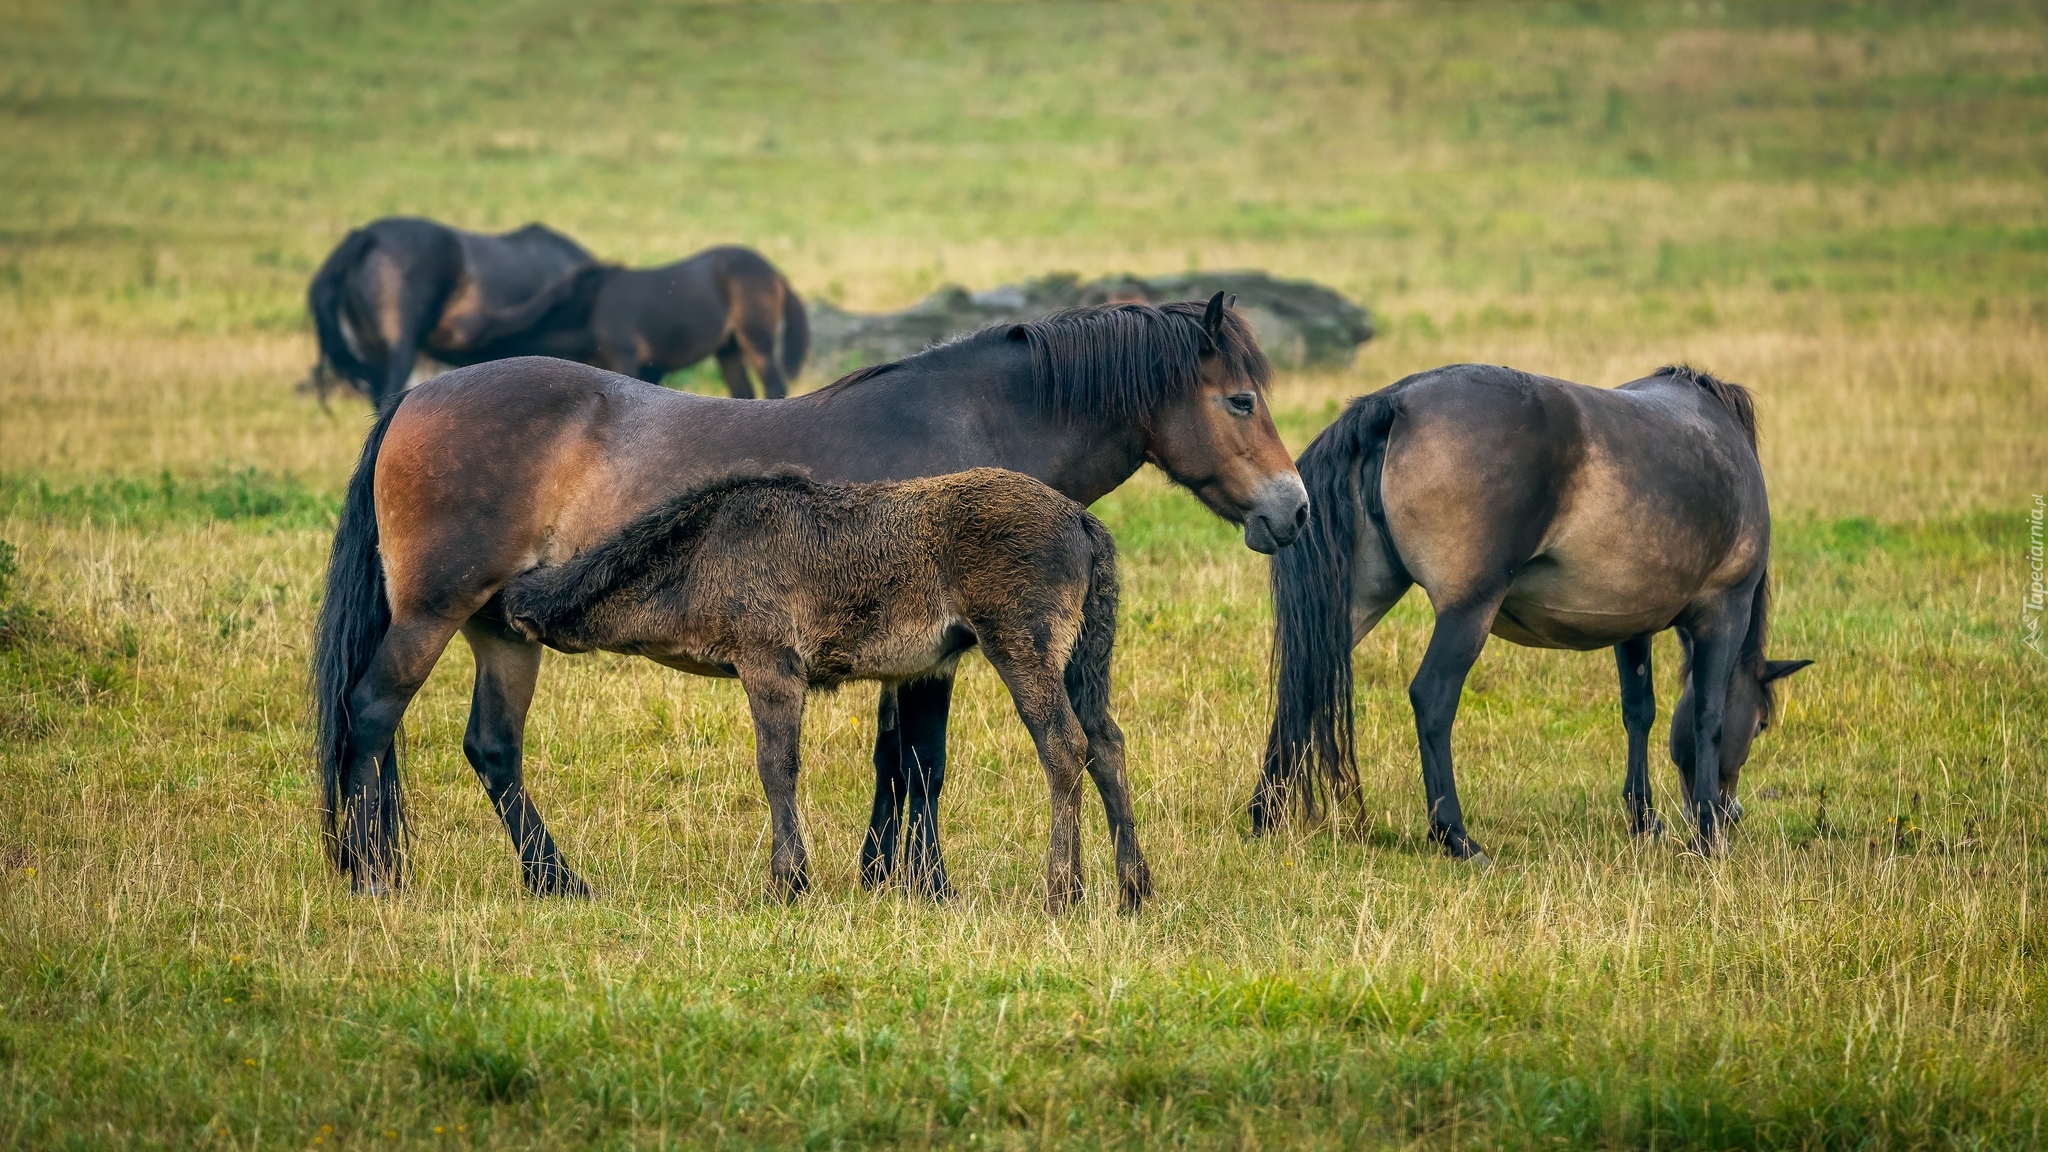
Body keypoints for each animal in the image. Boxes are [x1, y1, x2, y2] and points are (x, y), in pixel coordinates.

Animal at [315, 291, 1310, 893]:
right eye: (1241, 401)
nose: (1293, 509)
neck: (974, 420)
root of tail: (416, 398)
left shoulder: (910, 651)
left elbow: (896, 763)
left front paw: (884, 877)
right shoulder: (935, 656)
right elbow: (922, 763)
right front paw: (925, 885)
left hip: (502, 629)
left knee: (492, 749)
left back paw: (556, 882)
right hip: (432, 613)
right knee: (371, 714)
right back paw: (368, 871)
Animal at [462, 243, 806, 397]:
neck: (589, 310)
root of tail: (776, 275)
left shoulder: (625, 359)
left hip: (755, 338)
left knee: (774, 385)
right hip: (728, 348)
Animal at [1253, 362, 1818, 856]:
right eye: (1761, 725)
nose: (1732, 812)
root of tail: (1394, 403)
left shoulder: (1633, 625)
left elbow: (1639, 711)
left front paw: (1644, 819)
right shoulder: (1725, 612)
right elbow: (1708, 714)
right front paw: (1707, 836)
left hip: (1359, 601)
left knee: (1304, 680)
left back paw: (1265, 814)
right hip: (1468, 612)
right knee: (1432, 698)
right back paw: (1456, 837)